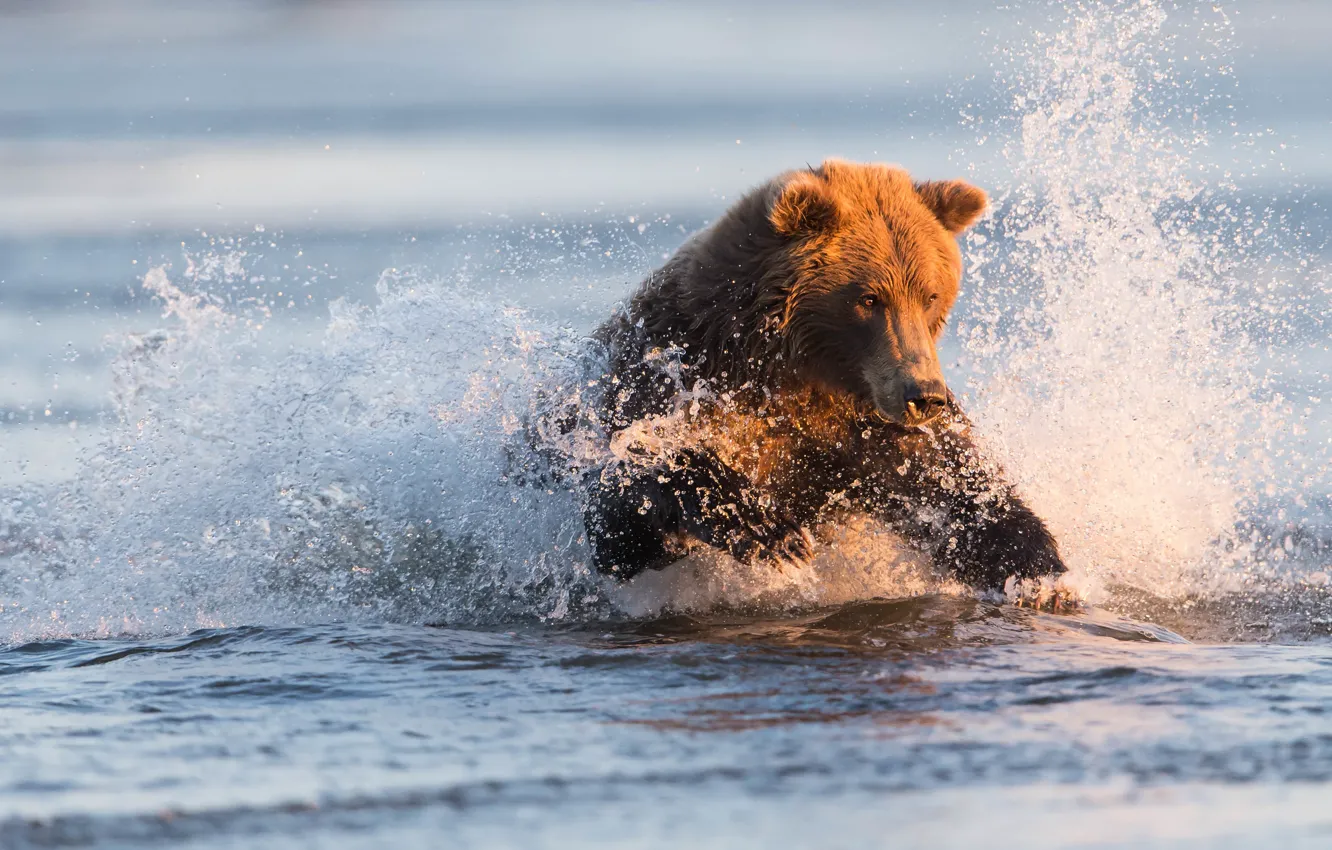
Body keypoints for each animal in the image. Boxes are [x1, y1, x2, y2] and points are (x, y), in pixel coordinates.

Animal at [546, 159, 1065, 591]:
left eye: (930, 294)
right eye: (869, 298)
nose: (924, 395)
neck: (793, 374)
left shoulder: (865, 429)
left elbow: (954, 487)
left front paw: (1041, 572)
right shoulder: (665, 381)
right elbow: (633, 488)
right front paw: (773, 532)